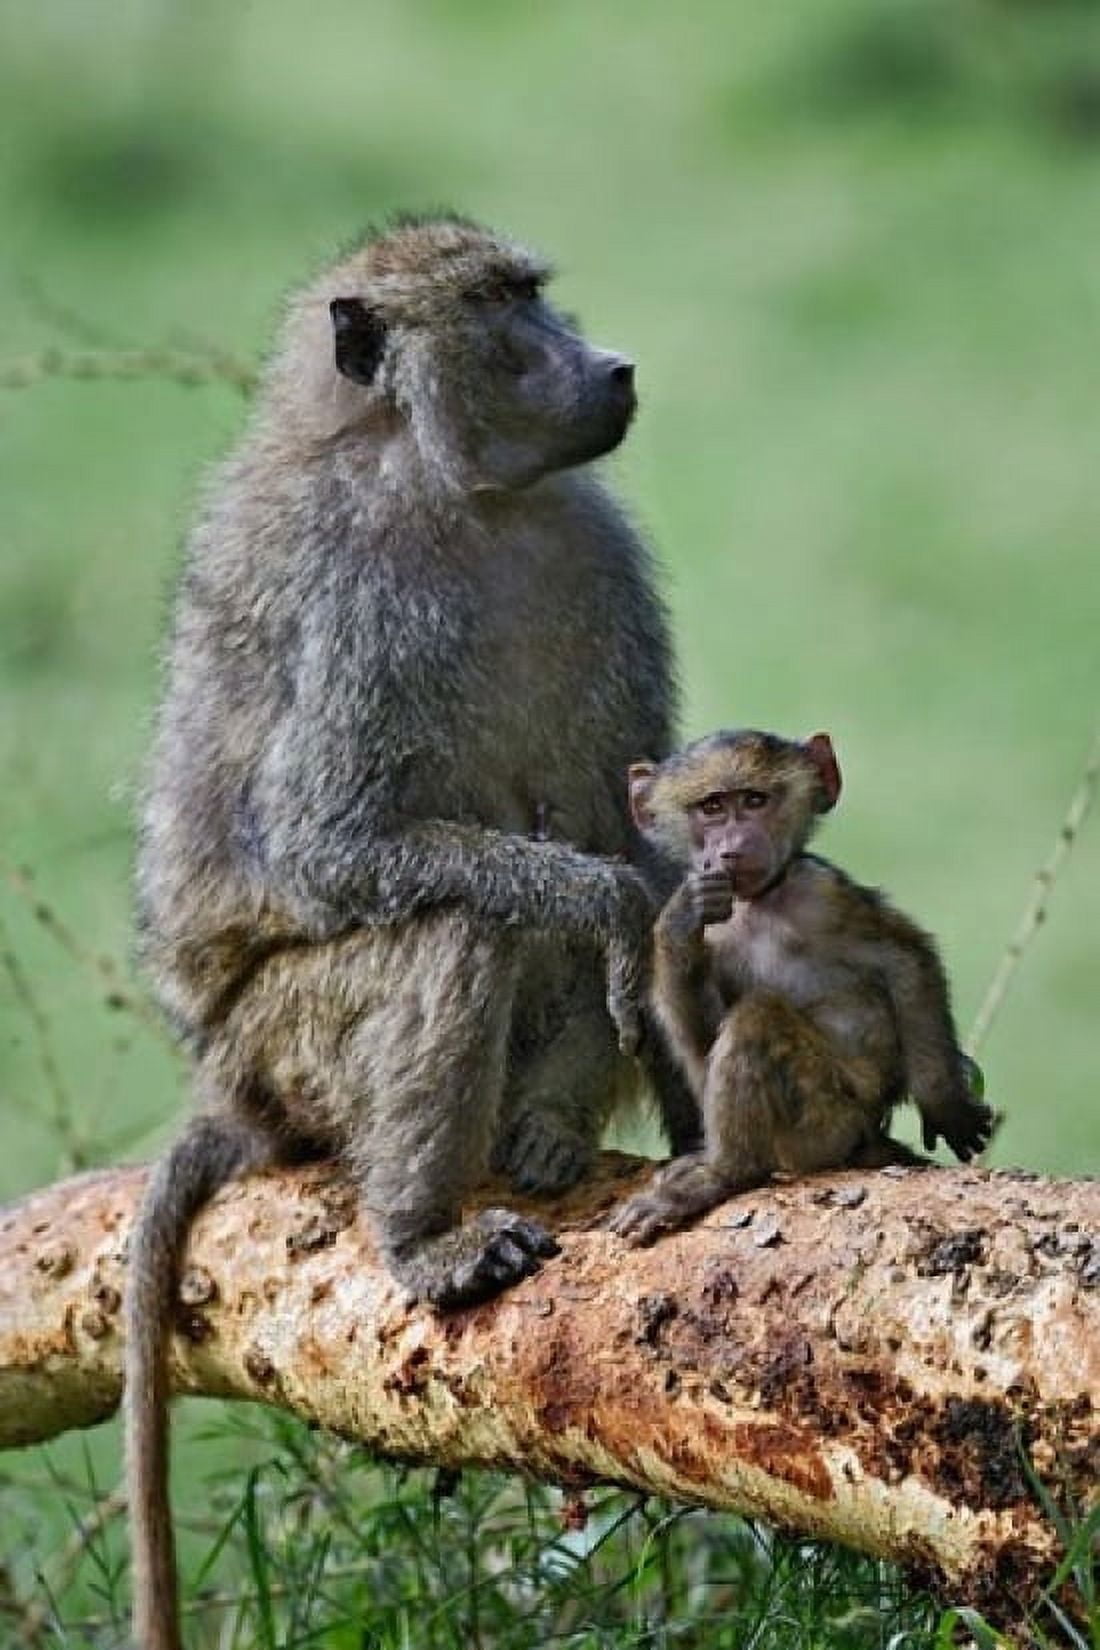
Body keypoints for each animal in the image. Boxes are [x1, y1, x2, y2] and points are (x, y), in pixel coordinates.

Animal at [125, 214, 696, 1650]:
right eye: (499, 310)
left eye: (536, 297)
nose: (609, 367)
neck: (453, 488)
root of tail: (227, 1082)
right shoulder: (361, 593)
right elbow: (331, 840)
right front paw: (611, 914)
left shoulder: (593, 550)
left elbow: (634, 816)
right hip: (282, 1048)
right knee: (458, 932)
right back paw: (425, 1235)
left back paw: (545, 1122)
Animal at [609, 728, 995, 1245]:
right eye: (711, 807)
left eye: (755, 801)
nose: (731, 848)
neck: (760, 903)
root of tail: (868, 1137)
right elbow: (701, 1040)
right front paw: (680, 921)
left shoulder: (823, 890)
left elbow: (905, 960)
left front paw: (945, 1104)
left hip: (830, 1124)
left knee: (758, 1020)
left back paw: (722, 1175)